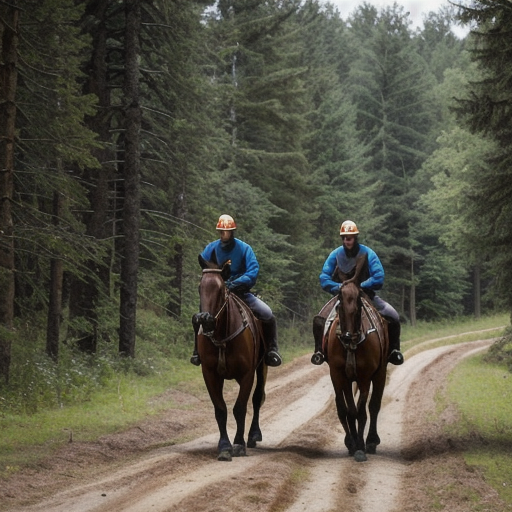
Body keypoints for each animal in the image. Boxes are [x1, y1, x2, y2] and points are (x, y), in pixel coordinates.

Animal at [193, 254, 268, 462]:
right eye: (200, 287)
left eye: (220, 289)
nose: (204, 320)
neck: (221, 336)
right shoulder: (210, 374)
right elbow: (221, 410)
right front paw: (225, 447)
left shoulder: (247, 374)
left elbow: (240, 408)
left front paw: (239, 444)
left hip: (262, 367)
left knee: (257, 398)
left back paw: (253, 435)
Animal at [328, 254, 388, 462]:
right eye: (339, 297)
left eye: (359, 300)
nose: (347, 335)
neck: (351, 344)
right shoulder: (340, 376)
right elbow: (348, 410)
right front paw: (353, 443)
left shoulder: (364, 376)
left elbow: (362, 411)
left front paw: (361, 446)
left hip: (380, 373)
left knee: (374, 405)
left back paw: (371, 440)